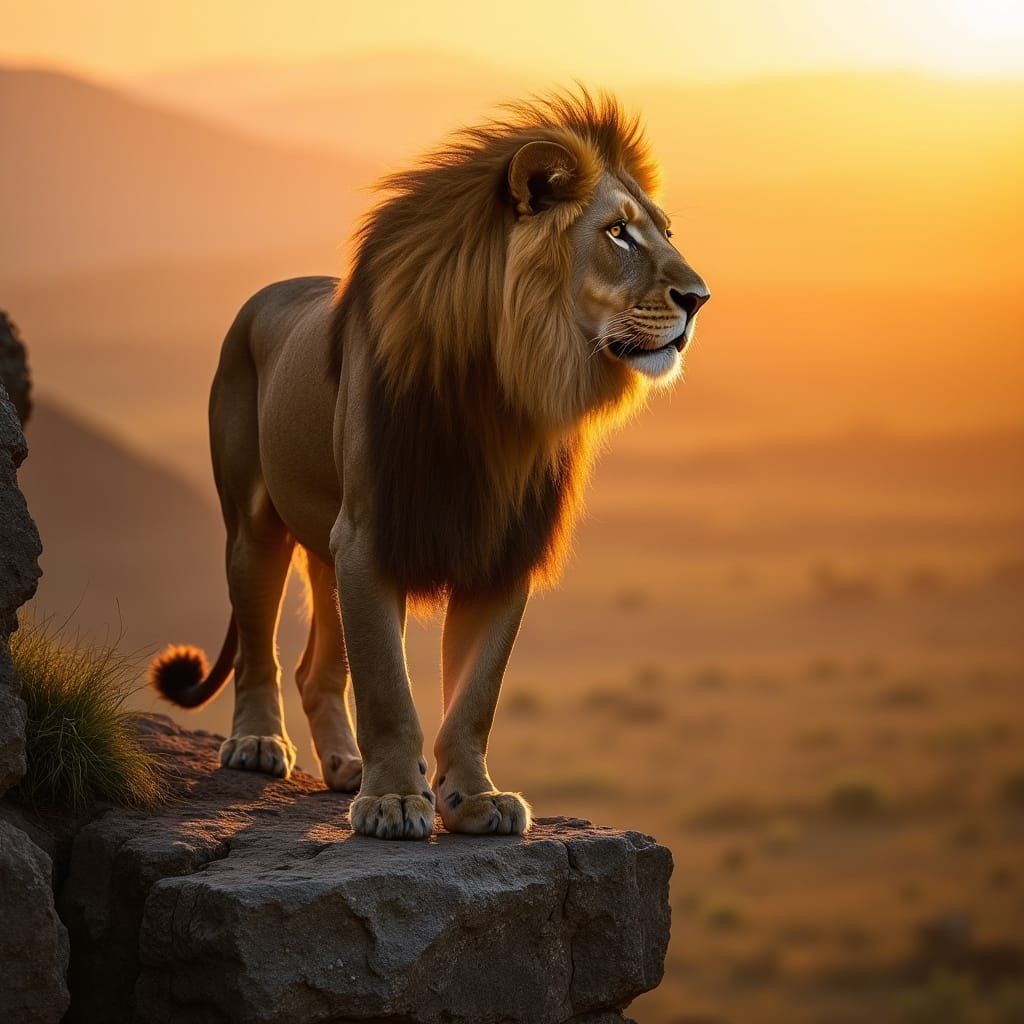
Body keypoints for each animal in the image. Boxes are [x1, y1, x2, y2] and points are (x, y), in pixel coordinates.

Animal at [149, 91, 709, 840]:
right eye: (618, 233)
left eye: (665, 232)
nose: (699, 298)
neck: (504, 387)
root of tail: (268, 293)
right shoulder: (372, 536)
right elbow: (387, 686)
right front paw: (391, 800)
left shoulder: (500, 547)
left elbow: (475, 696)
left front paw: (472, 799)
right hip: (254, 524)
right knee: (260, 649)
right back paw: (259, 744)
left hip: (325, 549)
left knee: (316, 669)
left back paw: (343, 766)